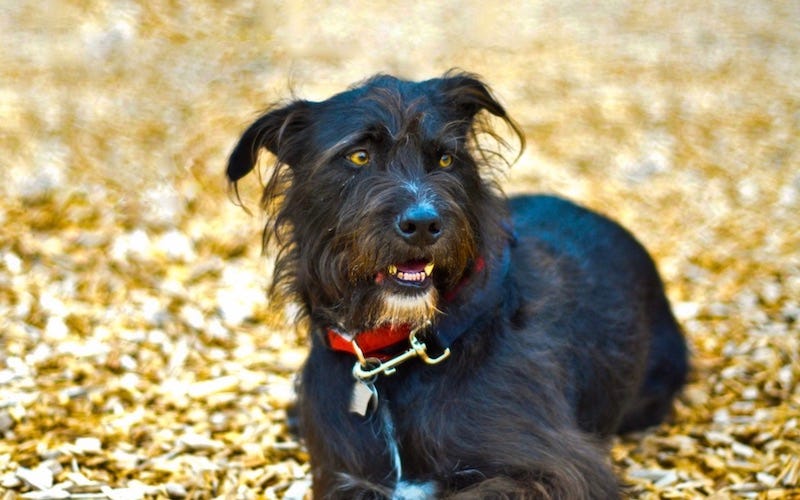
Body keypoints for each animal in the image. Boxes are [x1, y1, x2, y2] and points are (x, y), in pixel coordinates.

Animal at [227, 72, 688, 498]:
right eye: (358, 156)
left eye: (446, 160)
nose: (423, 223)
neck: (396, 357)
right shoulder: (343, 476)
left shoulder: (562, 470)